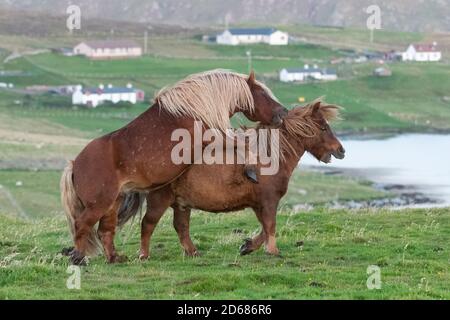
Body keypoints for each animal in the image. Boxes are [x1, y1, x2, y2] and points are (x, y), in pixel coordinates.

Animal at [60, 69, 288, 264]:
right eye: (262, 93)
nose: (283, 112)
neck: (194, 108)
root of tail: (74, 166)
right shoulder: (213, 138)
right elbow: (242, 144)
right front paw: (250, 169)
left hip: (113, 202)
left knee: (105, 231)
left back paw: (115, 259)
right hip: (100, 204)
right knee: (82, 225)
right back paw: (78, 259)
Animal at [118, 99, 344, 258]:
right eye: (323, 127)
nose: (341, 150)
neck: (267, 156)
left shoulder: (259, 203)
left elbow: (265, 228)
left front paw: (247, 246)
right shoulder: (268, 201)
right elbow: (270, 226)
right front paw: (273, 251)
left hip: (181, 204)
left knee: (181, 227)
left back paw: (193, 253)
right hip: (160, 199)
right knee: (148, 224)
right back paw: (144, 255)